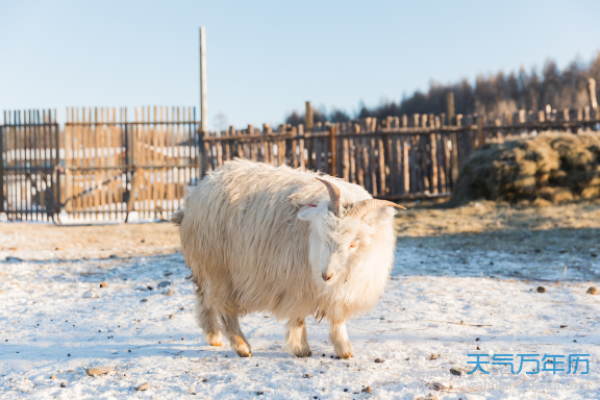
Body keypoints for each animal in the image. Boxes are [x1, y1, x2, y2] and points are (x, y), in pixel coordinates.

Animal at [172, 159, 404, 360]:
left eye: (352, 244)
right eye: (322, 235)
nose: (326, 275)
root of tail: (194, 194)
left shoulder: (335, 290)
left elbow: (336, 317)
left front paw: (342, 350)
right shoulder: (295, 281)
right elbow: (299, 316)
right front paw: (302, 348)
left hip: (206, 267)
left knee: (204, 299)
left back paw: (214, 337)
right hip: (219, 269)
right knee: (224, 308)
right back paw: (242, 347)